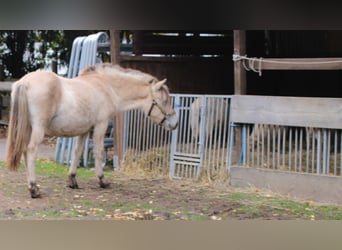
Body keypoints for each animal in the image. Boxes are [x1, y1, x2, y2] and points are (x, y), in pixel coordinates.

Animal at [5, 63, 179, 198]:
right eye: (164, 101)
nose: (175, 123)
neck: (107, 87)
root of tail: (25, 82)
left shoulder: (84, 131)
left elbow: (77, 152)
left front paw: (72, 181)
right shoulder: (101, 125)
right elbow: (98, 152)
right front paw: (102, 180)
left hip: (27, 129)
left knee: (25, 151)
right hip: (38, 129)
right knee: (31, 151)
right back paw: (34, 188)